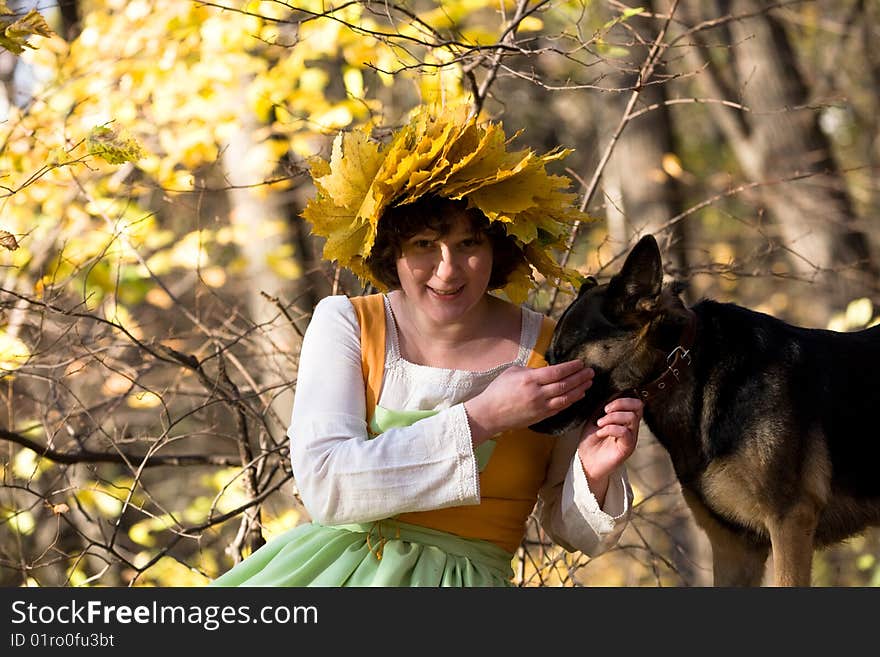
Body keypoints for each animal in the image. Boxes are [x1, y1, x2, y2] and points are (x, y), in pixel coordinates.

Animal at [528, 234, 880, 584]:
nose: (530, 423)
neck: (684, 365)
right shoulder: (733, 546)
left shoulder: (789, 523)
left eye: (566, 354)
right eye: (550, 355)